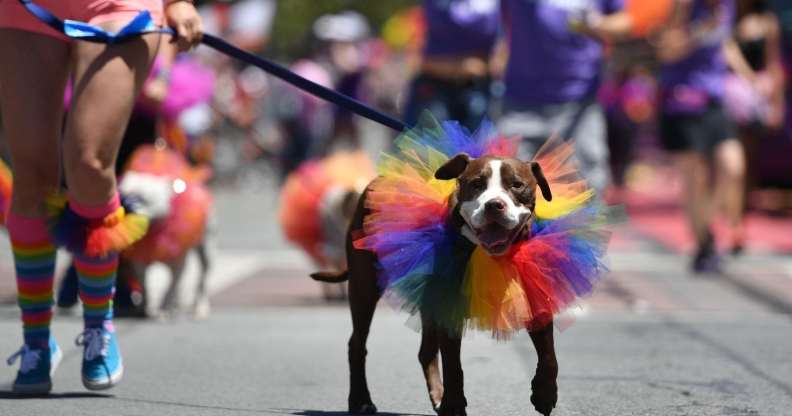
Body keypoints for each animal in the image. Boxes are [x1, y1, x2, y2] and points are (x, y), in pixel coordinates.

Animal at [310, 153, 556, 416]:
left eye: (517, 185)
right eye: (477, 184)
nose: (494, 205)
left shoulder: (537, 297)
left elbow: (549, 355)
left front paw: (545, 394)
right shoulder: (449, 307)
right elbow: (453, 366)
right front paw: (455, 406)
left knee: (425, 351)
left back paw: (438, 397)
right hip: (364, 286)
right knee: (357, 343)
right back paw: (361, 400)